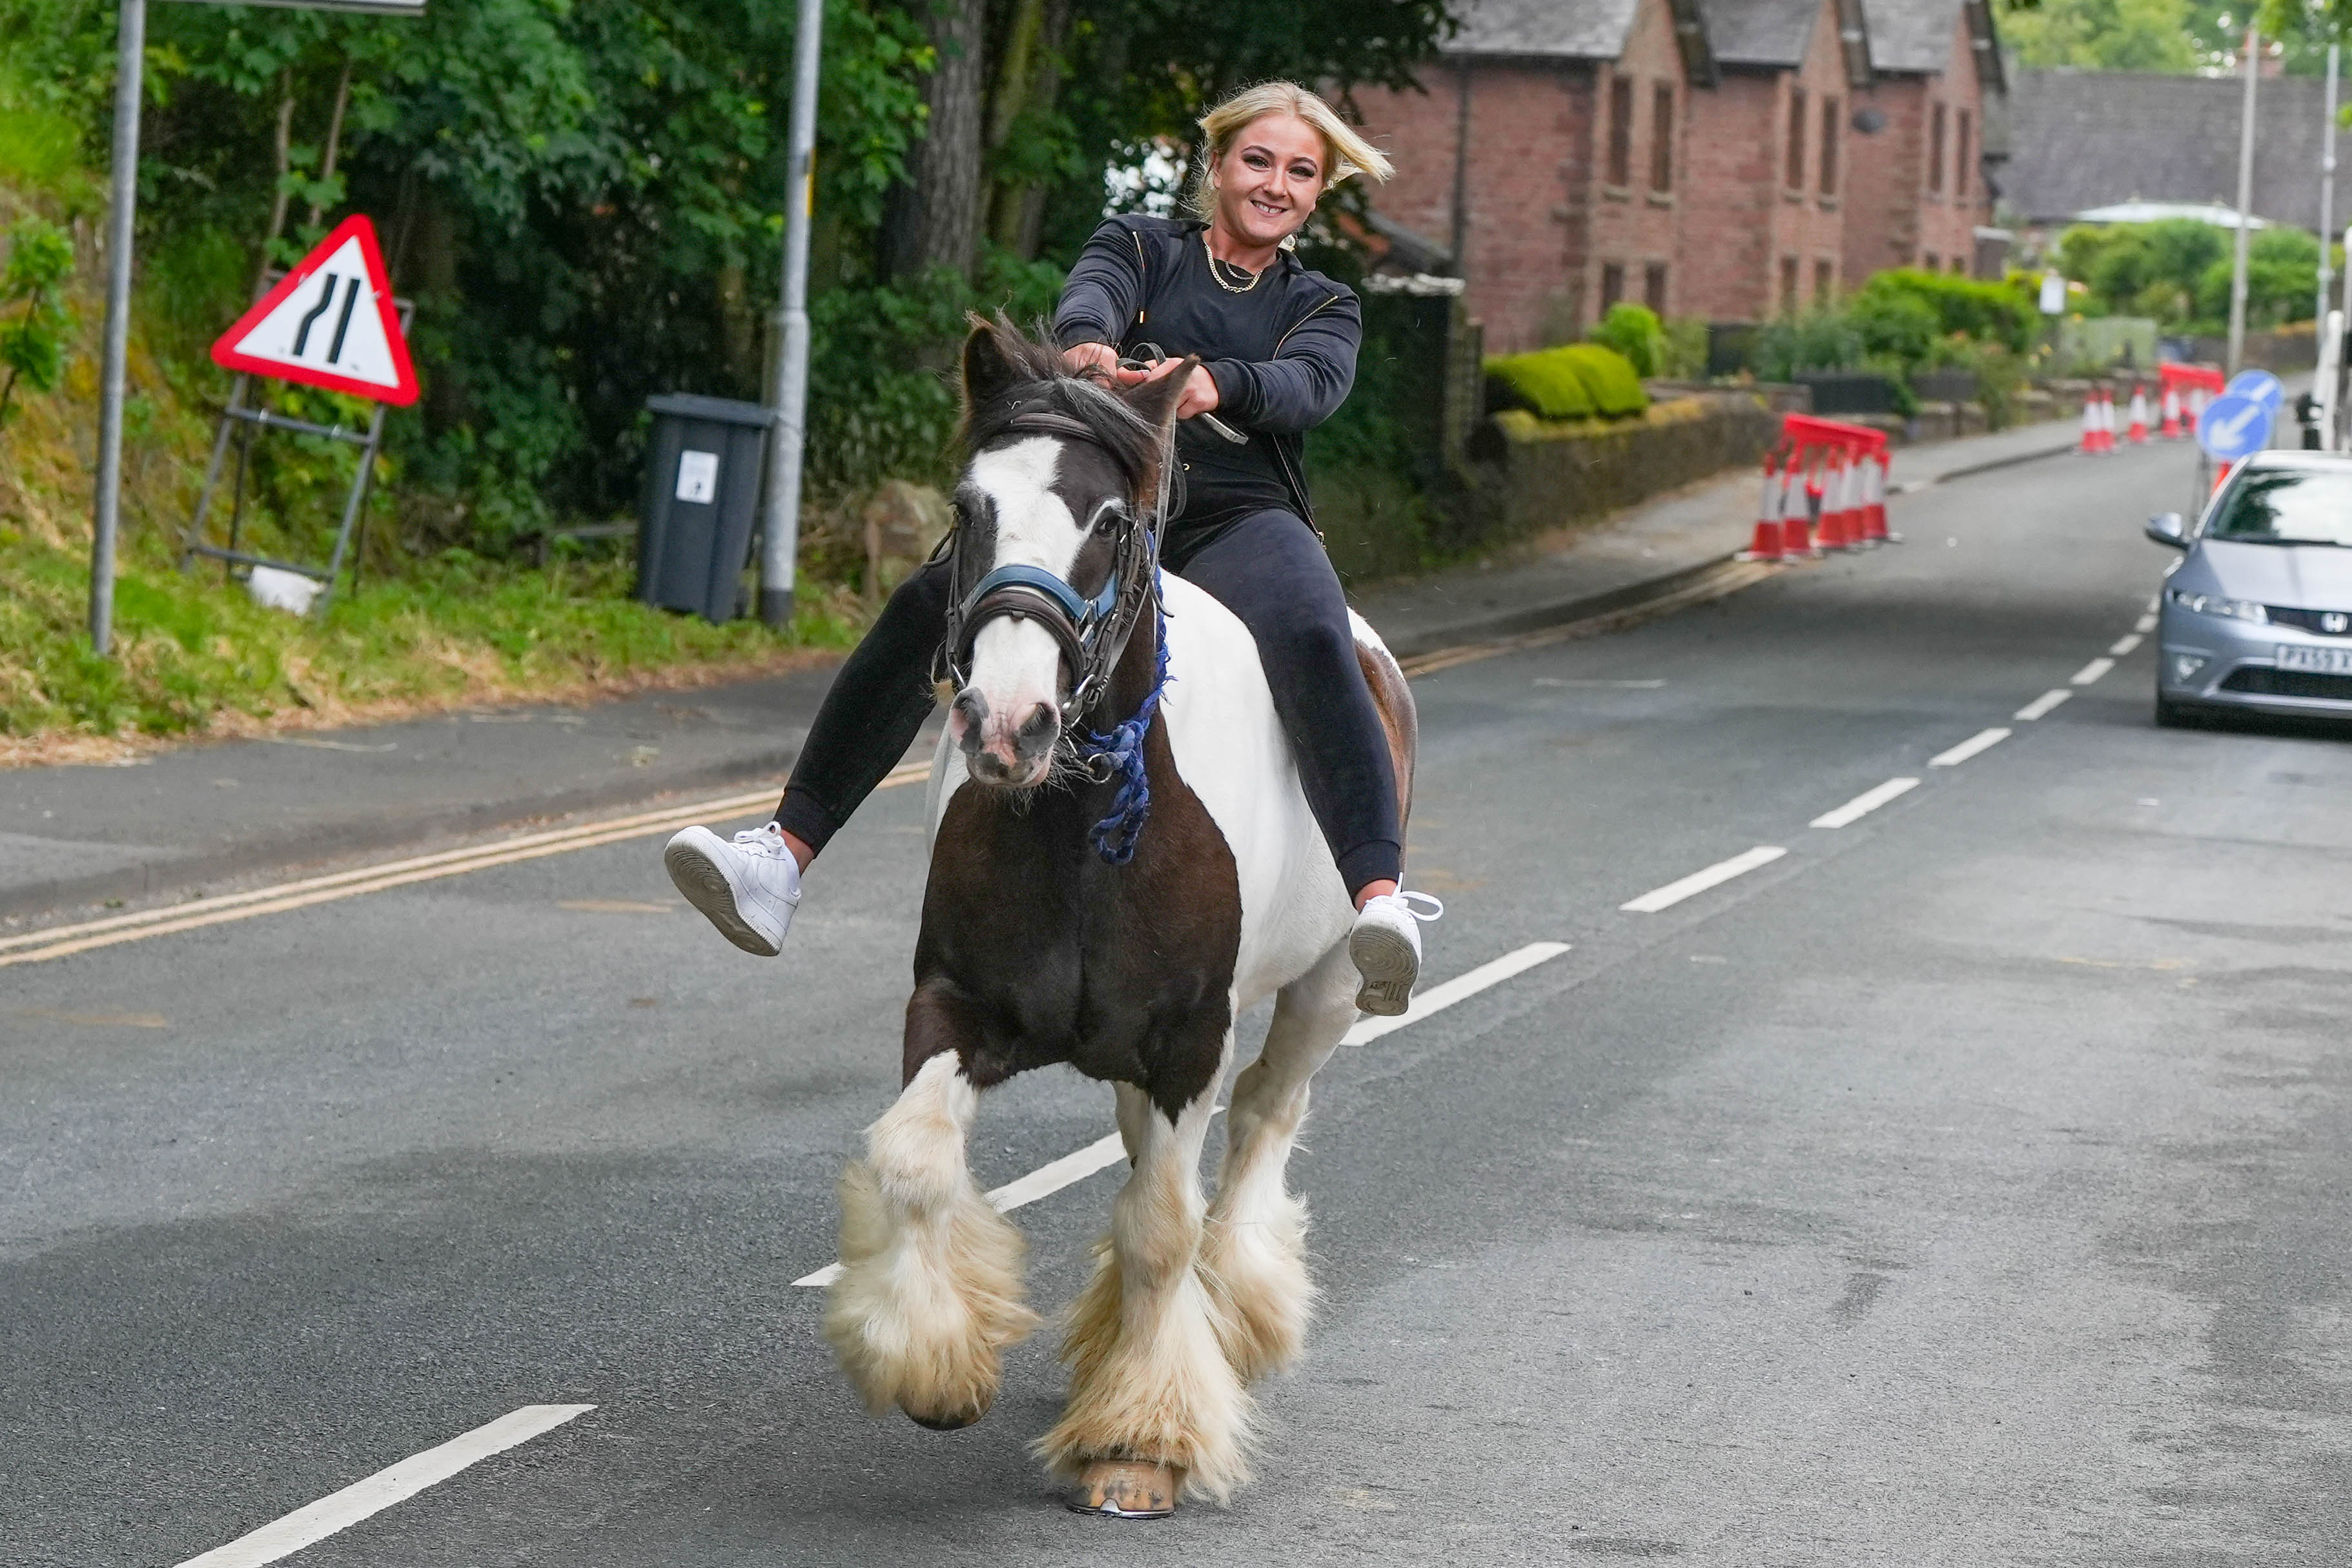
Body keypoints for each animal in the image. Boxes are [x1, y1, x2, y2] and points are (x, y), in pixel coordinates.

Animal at [828, 321, 1411, 1523]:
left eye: (1104, 520)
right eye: (968, 505)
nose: (1006, 723)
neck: (1084, 815)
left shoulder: (1190, 1040)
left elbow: (1160, 1228)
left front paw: (1141, 1440)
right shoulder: (955, 1003)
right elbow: (913, 1157)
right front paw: (932, 1361)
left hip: (1322, 989)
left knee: (1257, 1127)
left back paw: (1235, 1312)